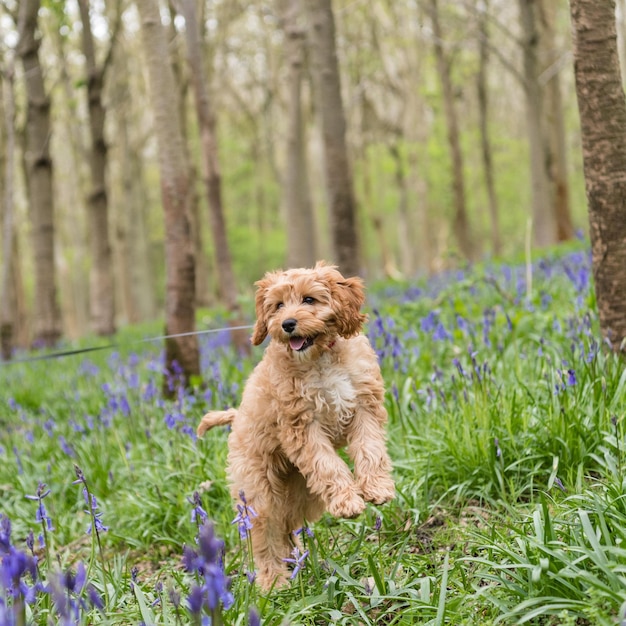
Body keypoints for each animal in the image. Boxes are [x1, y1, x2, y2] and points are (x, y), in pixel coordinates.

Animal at [197, 260, 392, 588]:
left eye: (309, 300)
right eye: (277, 305)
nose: (287, 323)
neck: (321, 358)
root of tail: (237, 418)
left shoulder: (365, 406)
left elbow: (370, 449)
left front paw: (377, 487)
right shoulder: (302, 426)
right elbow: (328, 465)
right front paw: (347, 502)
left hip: (300, 494)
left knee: (286, 526)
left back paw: (297, 563)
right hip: (259, 492)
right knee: (264, 533)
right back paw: (274, 581)